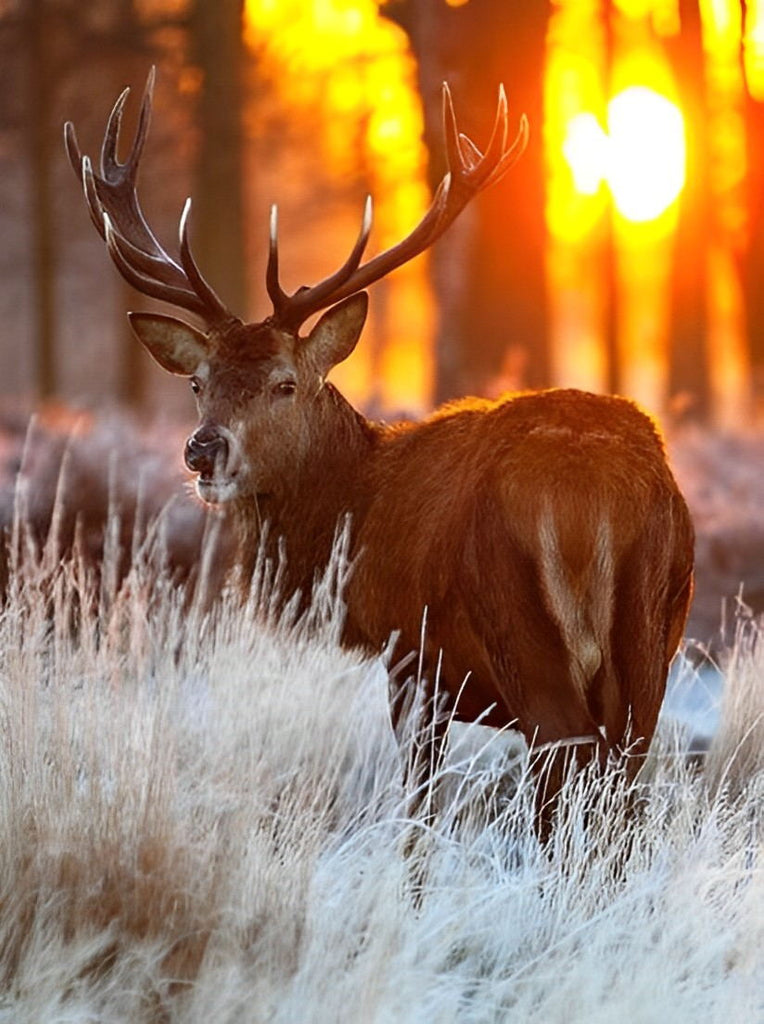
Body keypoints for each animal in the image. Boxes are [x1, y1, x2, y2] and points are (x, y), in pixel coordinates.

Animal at [68, 74, 692, 839]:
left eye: (286, 383)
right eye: (197, 381)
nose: (203, 449)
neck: (354, 512)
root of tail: (592, 492)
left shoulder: (410, 657)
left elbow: (417, 808)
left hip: (522, 629)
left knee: (565, 779)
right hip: (651, 634)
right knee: (624, 790)